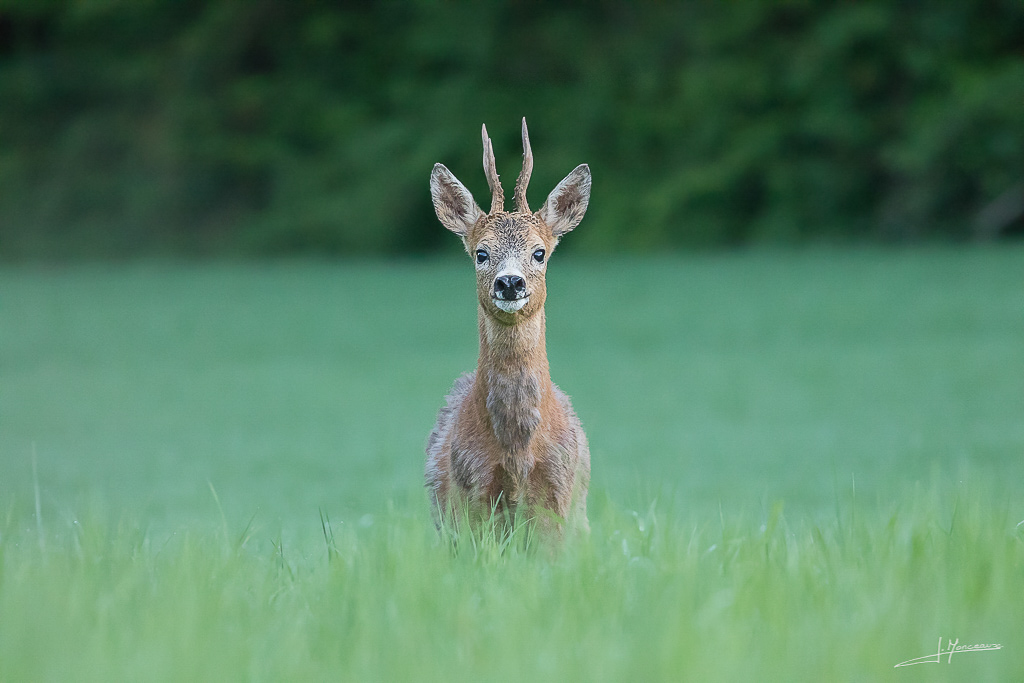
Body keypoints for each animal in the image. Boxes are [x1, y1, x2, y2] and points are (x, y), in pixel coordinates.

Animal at [423, 116, 589, 532]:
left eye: (539, 252)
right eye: (481, 253)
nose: (510, 282)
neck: (516, 453)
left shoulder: (557, 498)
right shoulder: (470, 495)